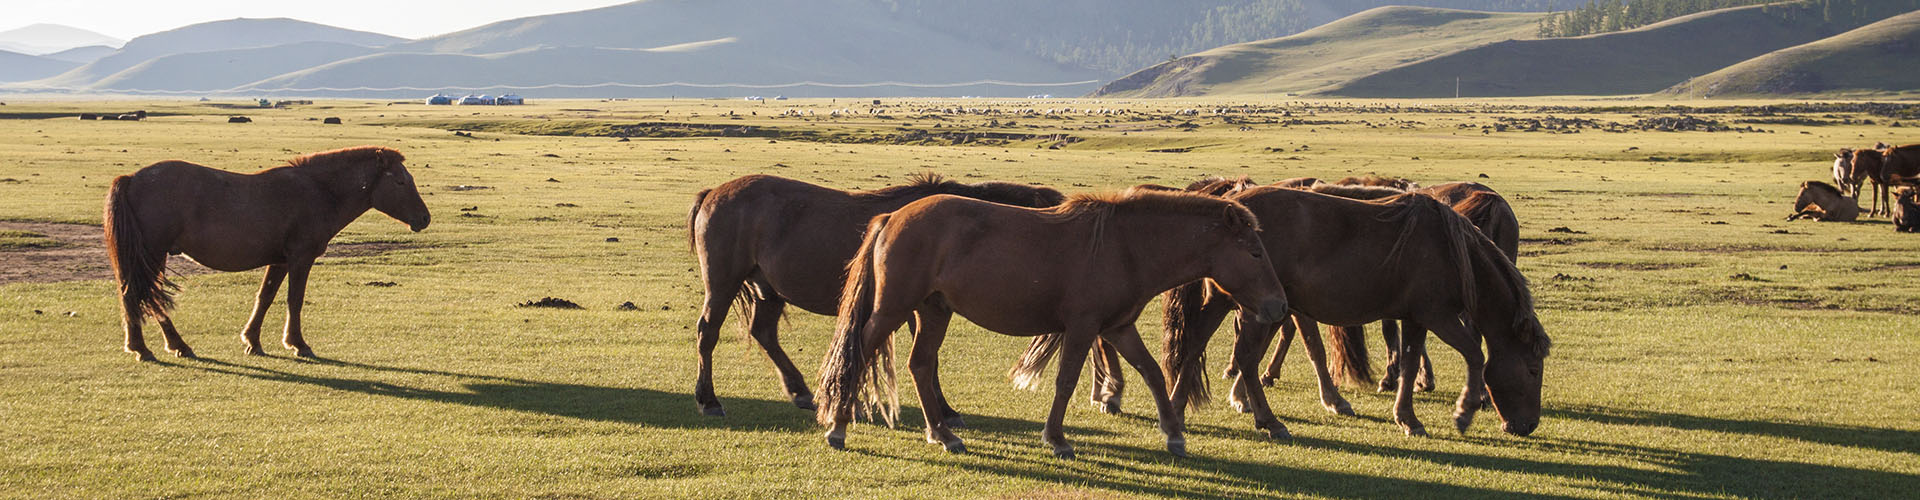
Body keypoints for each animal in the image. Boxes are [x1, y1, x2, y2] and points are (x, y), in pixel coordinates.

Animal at [106, 146, 432, 361]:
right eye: (401, 181)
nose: (424, 218)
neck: (319, 191)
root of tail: (132, 179)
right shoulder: (301, 257)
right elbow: (294, 299)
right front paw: (298, 344)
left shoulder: (279, 261)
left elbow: (265, 297)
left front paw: (252, 341)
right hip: (153, 254)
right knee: (142, 295)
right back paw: (160, 347)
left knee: (134, 294)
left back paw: (150, 346)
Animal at [687, 174, 1067, 415]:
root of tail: (712, 193)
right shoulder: (919, 310)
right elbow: (929, 360)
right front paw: (945, 410)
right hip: (723, 284)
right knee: (708, 333)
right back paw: (709, 400)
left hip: (768, 290)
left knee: (764, 333)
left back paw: (801, 392)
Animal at [814, 189, 1290, 459]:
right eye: (1254, 253)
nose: (1279, 307)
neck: (1125, 247)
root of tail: (891, 218)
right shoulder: (1082, 327)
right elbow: (1066, 381)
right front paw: (1058, 439)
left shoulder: (1118, 327)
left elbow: (1152, 373)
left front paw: (1174, 435)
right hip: (893, 309)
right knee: (861, 351)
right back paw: (838, 427)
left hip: (933, 310)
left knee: (920, 365)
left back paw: (943, 434)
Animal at [1152, 185, 1543, 440]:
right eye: (1533, 368)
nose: (1529, 425)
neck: (1448, 250)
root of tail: (1230, 206)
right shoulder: (1439, 317)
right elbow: (1476, 355)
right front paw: (1464, 412)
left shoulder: (1415, 319)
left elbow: (1410, 363)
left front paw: (1408, 418)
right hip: (1253, 310)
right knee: (1245, 358)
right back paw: (1269, 420)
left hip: (1227, 304)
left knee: (1197, 346)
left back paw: (1179, 409)